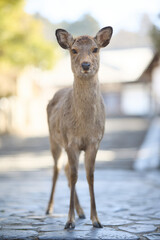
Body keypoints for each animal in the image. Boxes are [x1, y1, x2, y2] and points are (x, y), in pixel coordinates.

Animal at [45, 26, 113, 229]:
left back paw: (81, 212)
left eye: (95, 49)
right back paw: (49, 209)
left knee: (66, 169)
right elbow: (75, 176)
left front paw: (96, 220)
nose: (85, 65)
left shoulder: (94, 142)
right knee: (57, 170)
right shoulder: (70, 142)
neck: (84, 127)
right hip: (54, 140)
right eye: (74, 50)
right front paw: (69, 221)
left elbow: (90, 176)